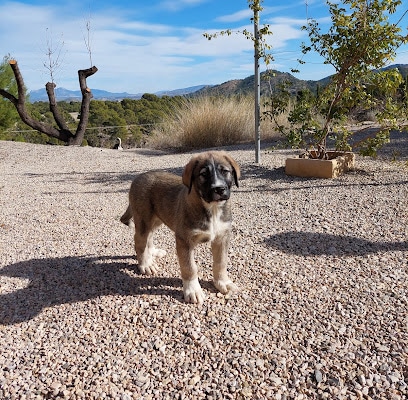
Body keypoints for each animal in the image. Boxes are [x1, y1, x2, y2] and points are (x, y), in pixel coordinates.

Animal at [122, 150, 242, 304]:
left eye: (225, 171)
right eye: (203, 174)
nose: (219, 189)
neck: (212, 209)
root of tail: (138, 177)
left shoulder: (222, 237)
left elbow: (221, 262)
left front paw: (223, 283)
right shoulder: (184, 240)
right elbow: (189, 267)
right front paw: (193, 290)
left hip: (156, 218)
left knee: (149, 236)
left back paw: (153, 252)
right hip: (143, 219)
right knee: (140, 241)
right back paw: (146, 264)